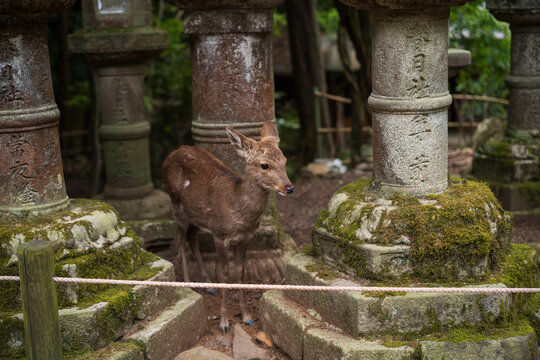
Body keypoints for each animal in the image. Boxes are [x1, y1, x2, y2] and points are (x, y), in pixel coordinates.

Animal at [162, 122, 294, 334]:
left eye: (284, 160)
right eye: (264, 165)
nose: (289, 187)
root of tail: (171, 155)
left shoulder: (245, 238)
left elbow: (240, 272)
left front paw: (247, 317)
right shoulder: (220, 235)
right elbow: (224, 274)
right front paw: (224, 323)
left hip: (197, 215)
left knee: (192, 237)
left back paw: (208, 284)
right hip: (176, 205)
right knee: (180, 242)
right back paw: (189, 284)